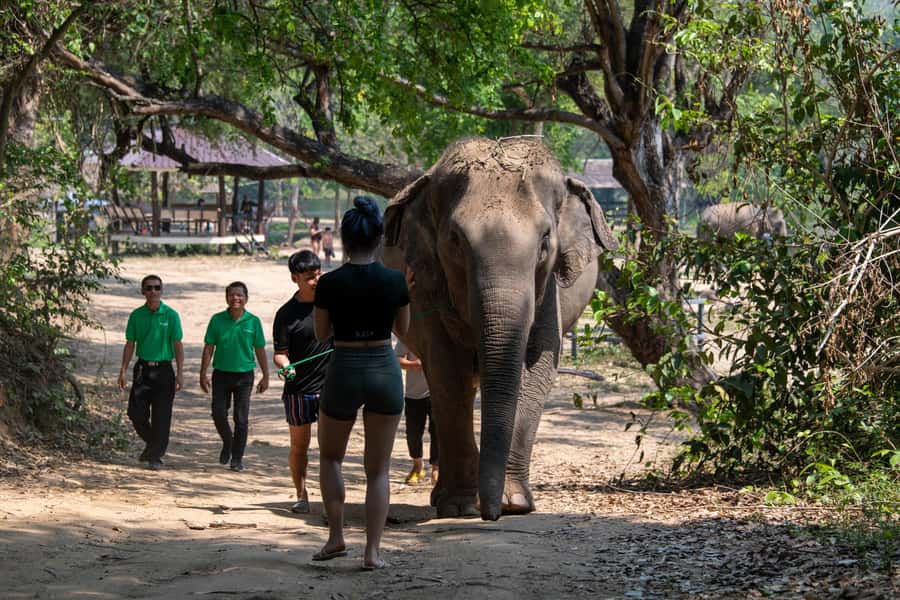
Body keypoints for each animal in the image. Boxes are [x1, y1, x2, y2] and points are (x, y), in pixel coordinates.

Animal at [382, 137, 616, 520]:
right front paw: (459, 507)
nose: (489, 513)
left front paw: (514, 503)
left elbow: (537, 370)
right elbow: (448, 371)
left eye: (545, 240)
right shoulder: (428, 287)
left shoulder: (548, 294)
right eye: (455, 239)